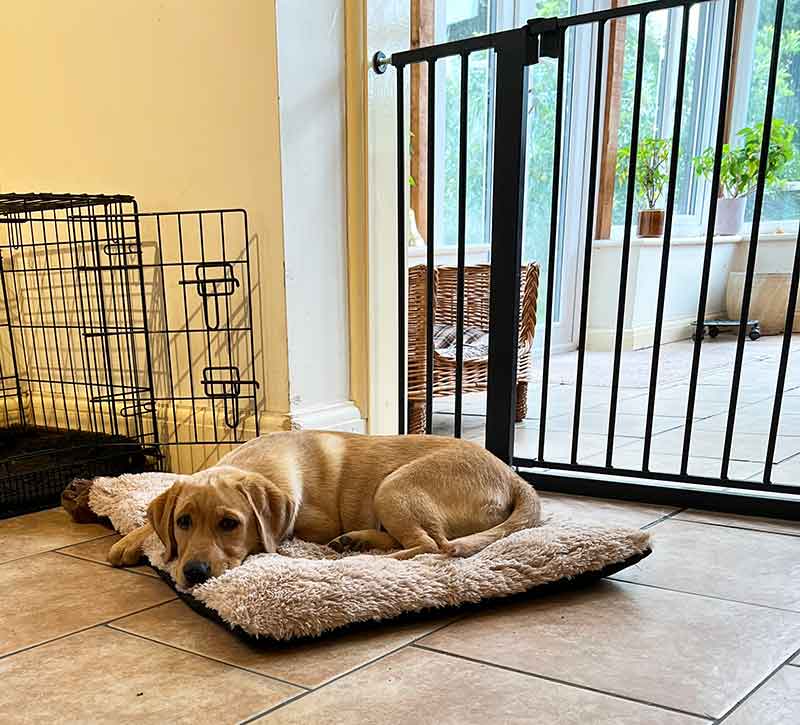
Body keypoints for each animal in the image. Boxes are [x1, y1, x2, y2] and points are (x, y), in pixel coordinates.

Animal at [109, 430, 540, 588]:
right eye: (183, 522)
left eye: (229, 524)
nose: (194, 573)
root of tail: (513, 475)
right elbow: (150, 522)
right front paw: (130, 542)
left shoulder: (311, 523)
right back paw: (356, 542)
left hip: (394, 486)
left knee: (429, 545)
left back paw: (360, 556)